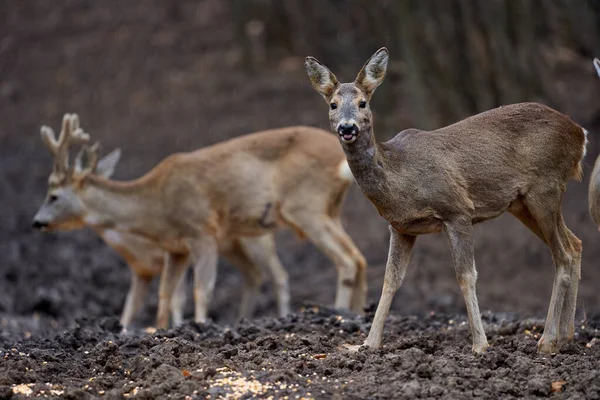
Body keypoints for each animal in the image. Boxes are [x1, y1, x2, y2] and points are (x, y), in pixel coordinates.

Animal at [35, 112, 368, 328]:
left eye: (53, 195)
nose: (37, 222)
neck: (156, 204)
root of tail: (340, 161)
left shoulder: (202, 231)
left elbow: (201, 290)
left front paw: (199, 327)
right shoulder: (176, 248)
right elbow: (165, 293)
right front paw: (161, 331)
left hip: (305, 206)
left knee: (344, 261)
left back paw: (338, 313)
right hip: (328, 210)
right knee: (358, 257)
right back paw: (357, 314)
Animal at [308, 47, 588, 354]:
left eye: (362, 103)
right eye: (333, 105)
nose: (347, 128)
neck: (400, 177)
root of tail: (580, 134)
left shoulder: (457, 210)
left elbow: (466, 276)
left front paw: (480, 345)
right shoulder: (400, 227)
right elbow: (390, 279)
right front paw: (367, 344)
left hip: (545, 188)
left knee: (561, 255)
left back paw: (547, 341)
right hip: (523, 203)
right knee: (574, 244)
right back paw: (566, 336)